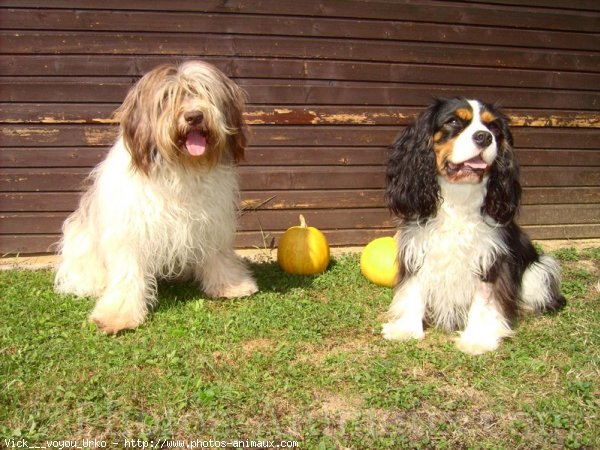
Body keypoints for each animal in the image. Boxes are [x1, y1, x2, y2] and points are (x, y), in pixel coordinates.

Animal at [56, 61, 260, 332]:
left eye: (205, 92)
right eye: (167, 98)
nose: (194, 116)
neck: (181, 168)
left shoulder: (212, 223)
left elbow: (218, 255)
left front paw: (231, 286)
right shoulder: (129, 231)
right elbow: (127, 272)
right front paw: (118, 314)